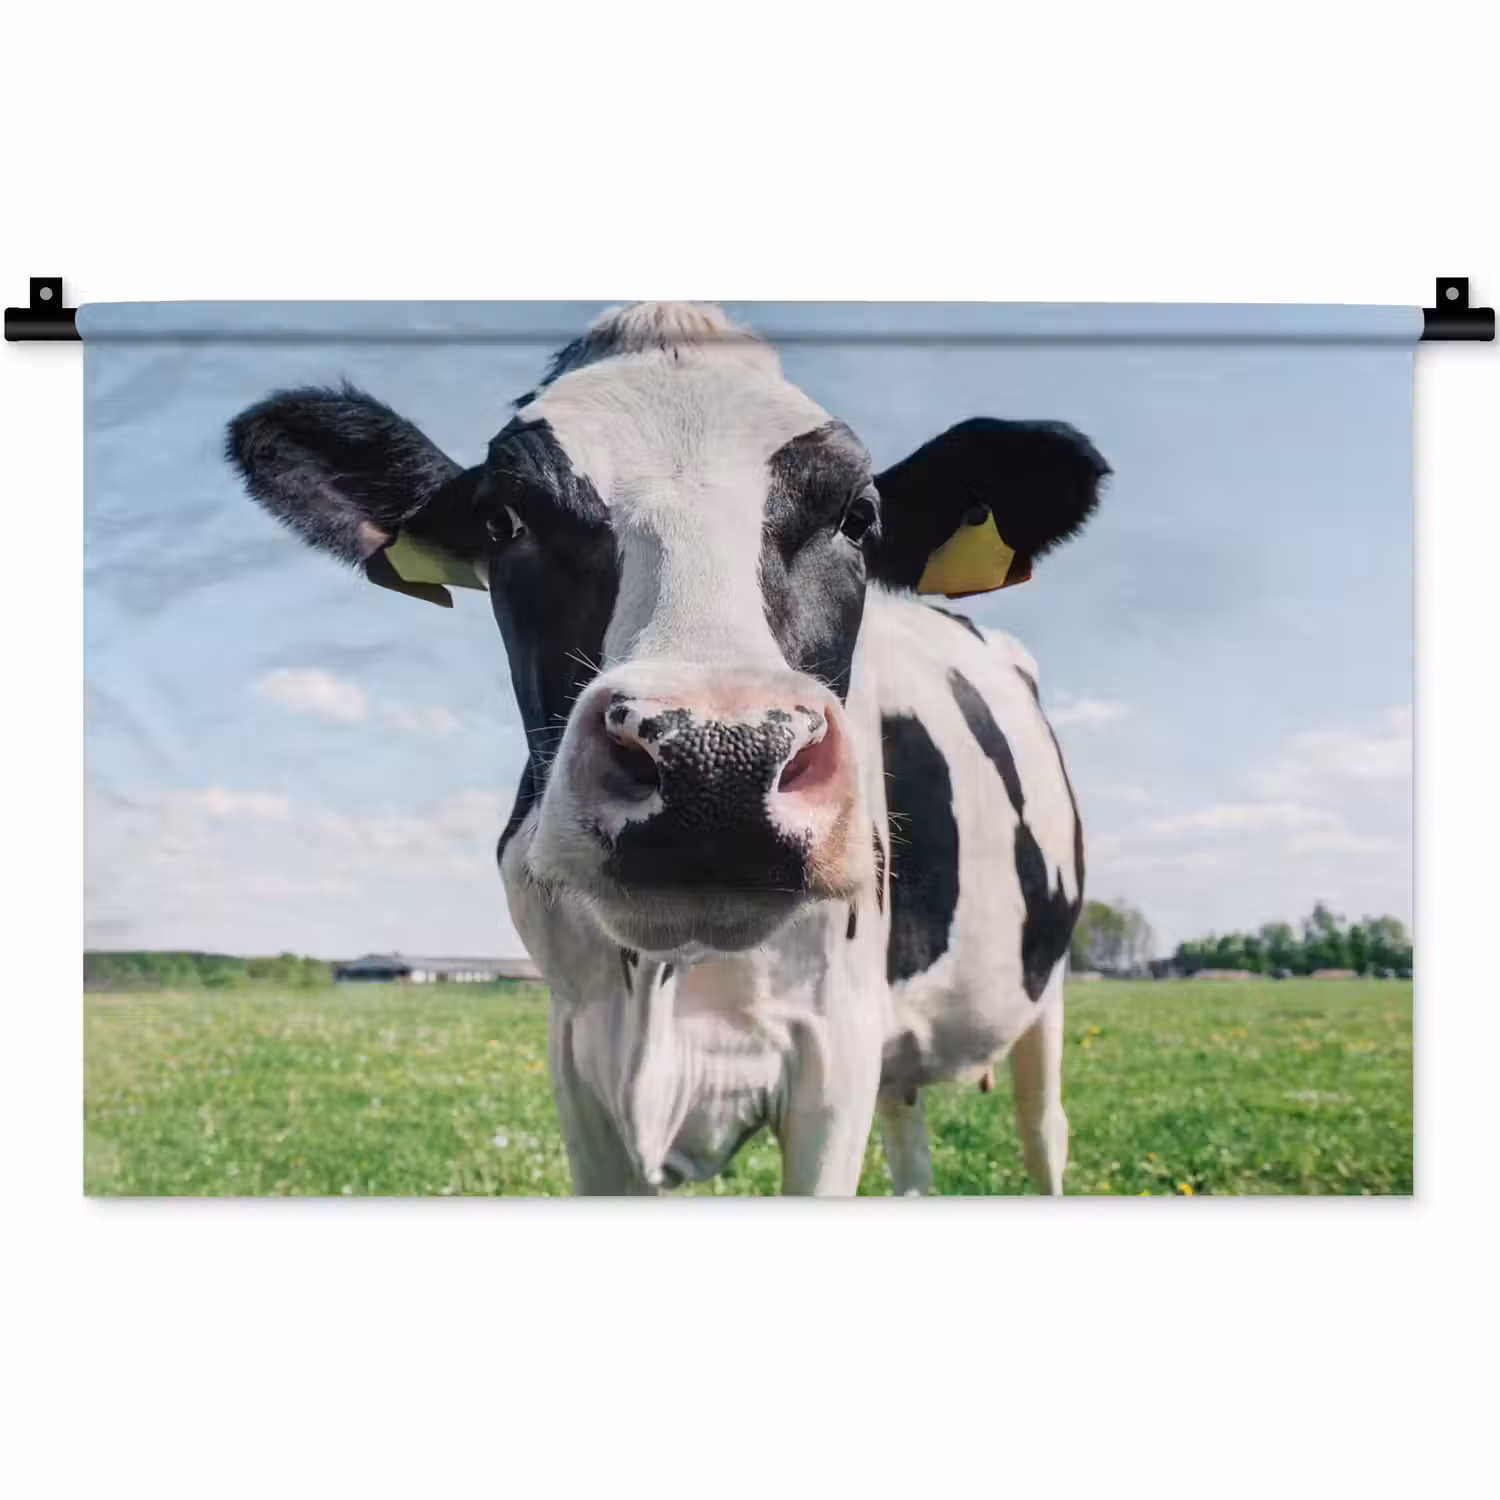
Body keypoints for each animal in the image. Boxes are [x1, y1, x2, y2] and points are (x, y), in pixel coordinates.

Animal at [227, 302, 1108, 1195]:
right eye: (504, 520)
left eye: (858, 518)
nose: (717, 765)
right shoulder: (577, 1052)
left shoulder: (838, 1047)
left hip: (1044, 992)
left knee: (1046, 1131)